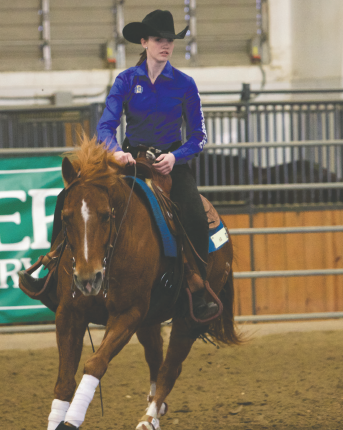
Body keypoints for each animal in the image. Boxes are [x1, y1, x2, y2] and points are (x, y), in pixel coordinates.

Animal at [45, 138, 241, 430]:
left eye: (106, 215)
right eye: (66, 217)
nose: (88, 279)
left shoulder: (128, 314)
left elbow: (95, 363)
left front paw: (71, 421)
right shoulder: (69, 312)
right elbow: (64, 381)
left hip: (188, 318)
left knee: (170, 368)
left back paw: (149, 417)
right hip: (150, 319)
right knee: (156, 359)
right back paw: (155, 408)